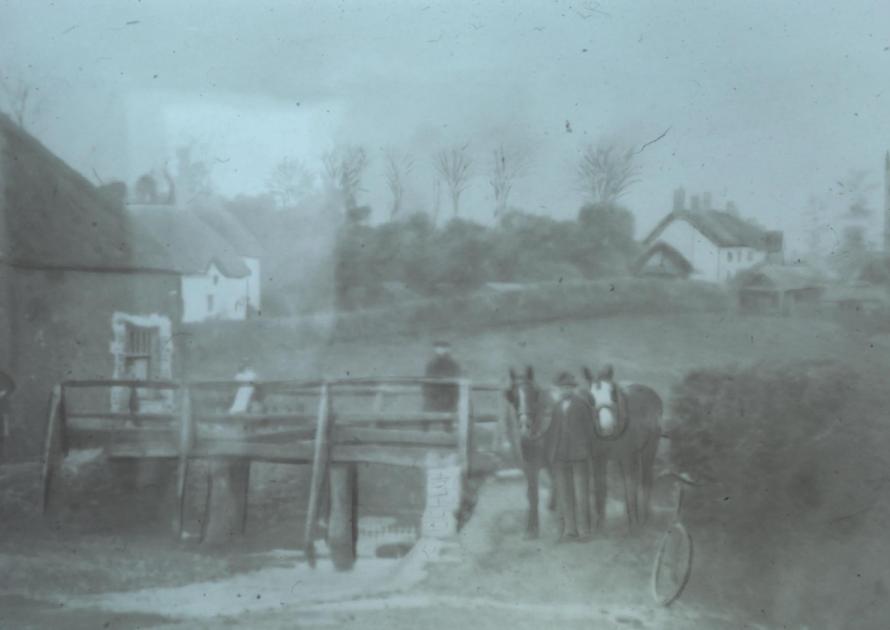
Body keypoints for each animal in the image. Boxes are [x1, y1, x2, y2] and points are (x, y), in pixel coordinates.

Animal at [500, 368, 556, 540]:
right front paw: (531, 527)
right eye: (514, 397)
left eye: (535, 393)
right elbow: (531, 495)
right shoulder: (528, 467)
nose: (525, 428)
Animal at [580, 368, 664, 532]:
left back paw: (645, 517)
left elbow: (630, 489)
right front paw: (599, 525)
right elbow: (601, 489)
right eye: (591, 398)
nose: (606, 427)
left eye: (613, 393)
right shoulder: (599, 459)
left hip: (649, 447)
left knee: (645, 480)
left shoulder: (627, 457)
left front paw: (634, 525)